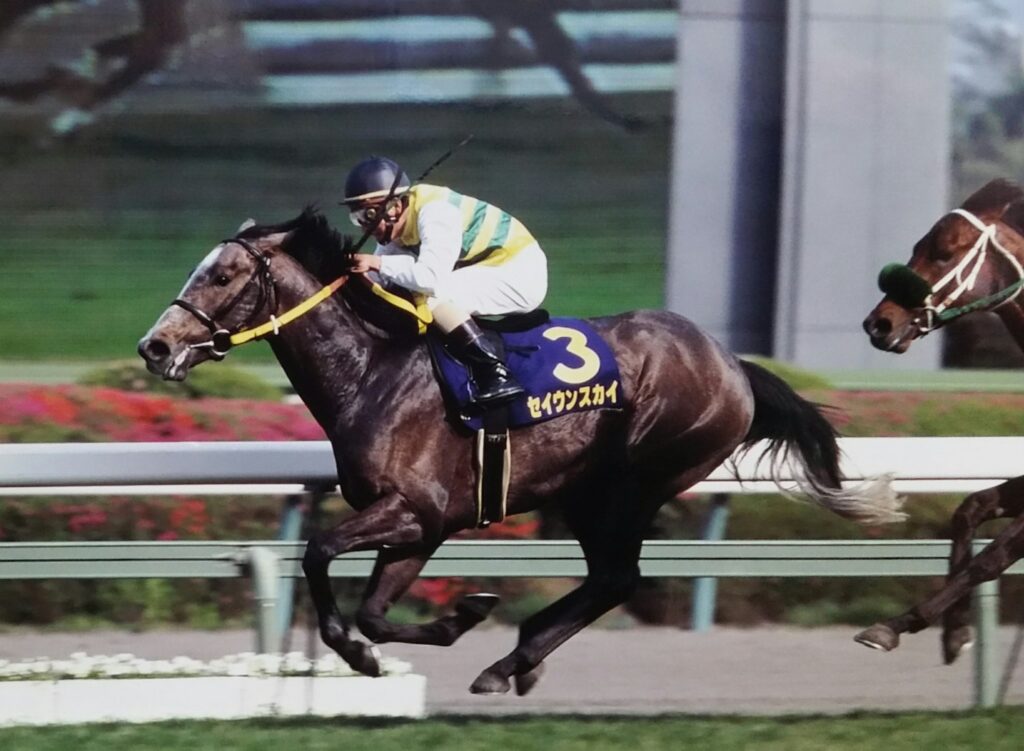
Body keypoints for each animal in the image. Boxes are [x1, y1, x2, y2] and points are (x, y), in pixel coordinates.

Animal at [138, 208, 902, 695]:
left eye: (221, 275)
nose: (155, 345)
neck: (372, 371)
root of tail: (732, 364)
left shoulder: (414, 509)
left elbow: (319, 552)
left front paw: (362, 651)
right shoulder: (424, 525)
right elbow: (374, 609)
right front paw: (452, 619)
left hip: (631, 481)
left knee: (619, 578)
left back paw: (514, 660)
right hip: (589, 493)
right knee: (609, 578)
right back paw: (518, 657)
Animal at [859, 178, 1024, 662]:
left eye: (945, 252)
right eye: (918, 246)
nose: (879, 324)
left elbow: (993, 557)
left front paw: (892, 626)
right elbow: (970, 508)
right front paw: (954, 631)